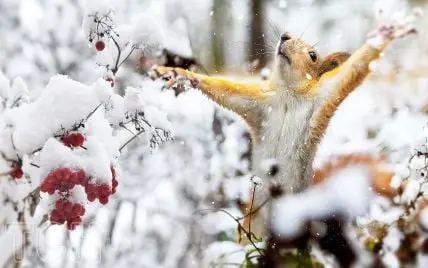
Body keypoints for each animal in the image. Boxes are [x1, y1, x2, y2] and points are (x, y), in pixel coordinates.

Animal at [151, 11, 422, 242]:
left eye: (313, 55)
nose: (285, 36)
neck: (288, 94)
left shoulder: (324, 96)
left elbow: (355, 68)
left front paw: (387, 32)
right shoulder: (258, 104)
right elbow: (223, 89)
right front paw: (179, 74)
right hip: (251, 224)